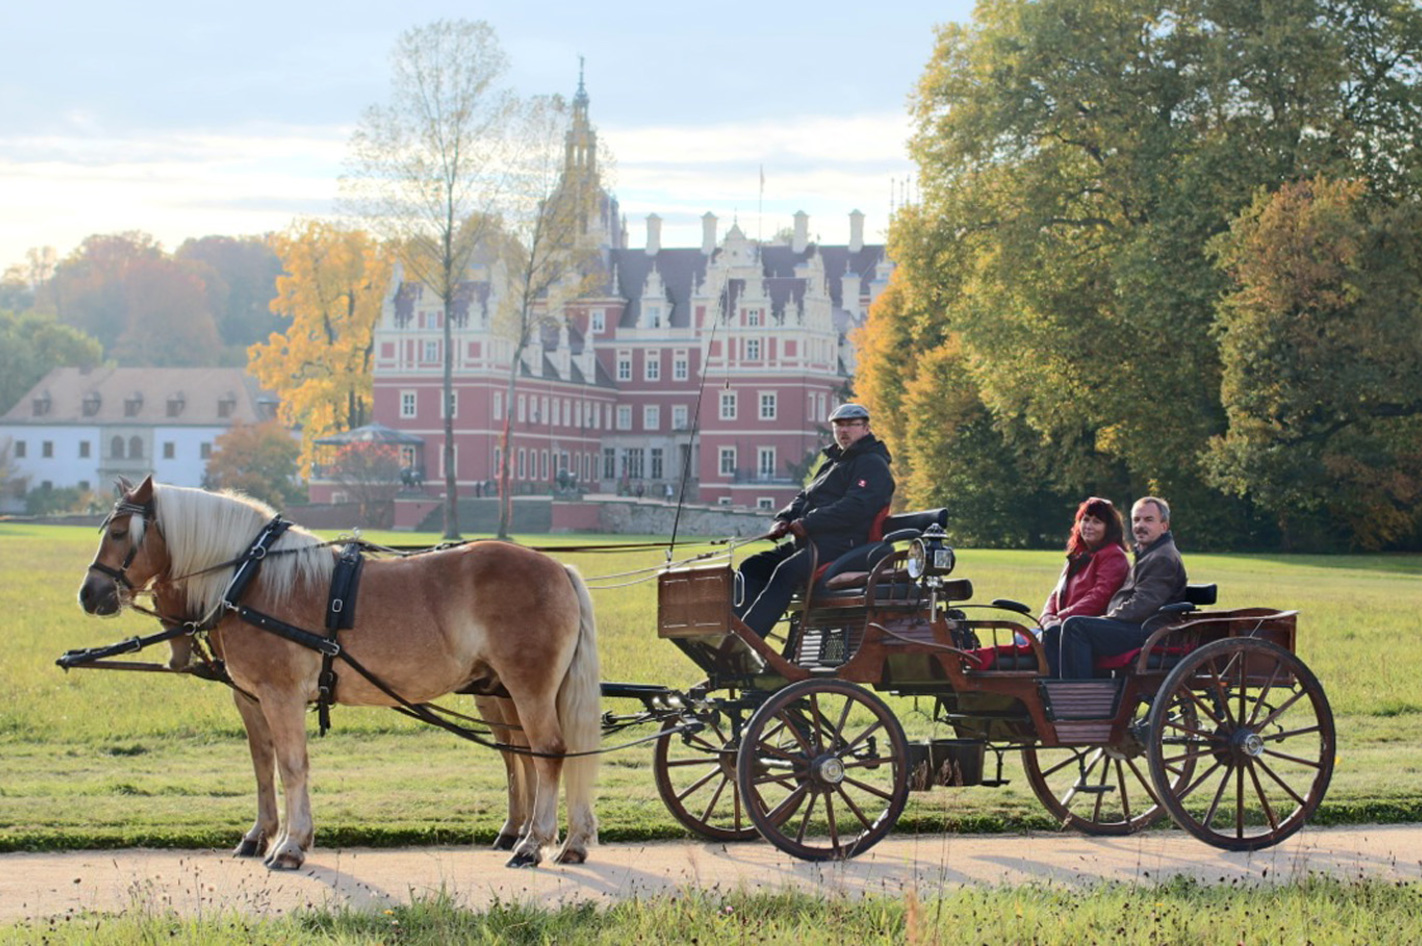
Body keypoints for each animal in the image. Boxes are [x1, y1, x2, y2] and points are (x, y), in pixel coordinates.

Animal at [77, 475, 600, 864]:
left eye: (119, 533)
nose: (88, 593)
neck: (250, 578)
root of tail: (558, 569)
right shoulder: (252, 697)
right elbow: (264, 763)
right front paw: (263, 833)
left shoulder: (282, 694)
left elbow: (292, 765)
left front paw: (291, 844)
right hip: (504, 689)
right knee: (528, 752)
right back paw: (559, 839)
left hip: (528, 687)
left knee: (548, 751)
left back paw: (535, 842)